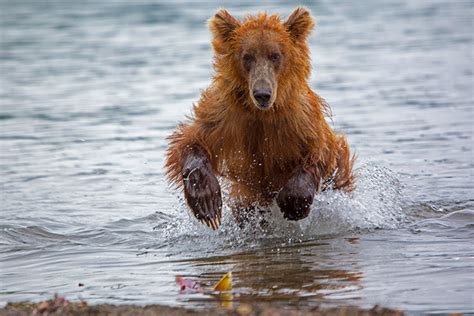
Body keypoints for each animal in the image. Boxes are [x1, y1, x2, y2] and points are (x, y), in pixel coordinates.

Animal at [165, 7, 354, 230]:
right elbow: (192, 140)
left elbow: (320, 150)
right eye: (248, 56)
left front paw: (294, 202)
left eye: (275, 55)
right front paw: (206, 201)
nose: (262, 94)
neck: (261, 113)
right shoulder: (224, 115)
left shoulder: (300, 119)